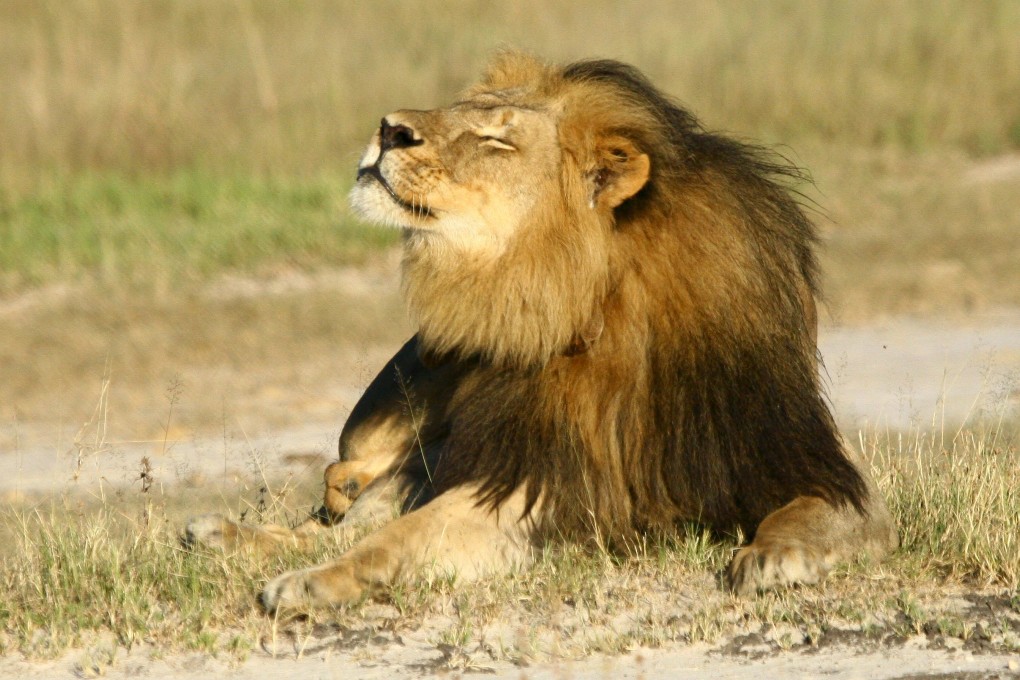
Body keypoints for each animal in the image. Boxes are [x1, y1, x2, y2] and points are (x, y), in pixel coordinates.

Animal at [185, 52, 898, 611]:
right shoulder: (528, 477)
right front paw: (310, 582)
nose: (388, 129)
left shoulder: (803, 461)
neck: (589, 298)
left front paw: (775, 557)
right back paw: (224, 534)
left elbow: (817, 511)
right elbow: (395, 537)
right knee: (343, 511)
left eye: (496, 141)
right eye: (460, 109)